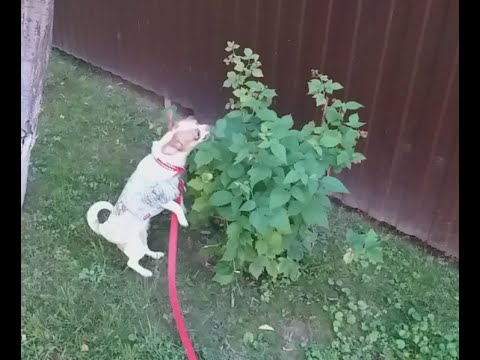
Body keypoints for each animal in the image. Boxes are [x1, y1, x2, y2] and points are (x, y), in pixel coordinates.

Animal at [86, 116, 210, 278]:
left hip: (142, 236)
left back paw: (155, 254)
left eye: (196, 122)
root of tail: (103, 227)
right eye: (197, 134)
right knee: (131, 262)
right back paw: (145, 273)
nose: (208, 126)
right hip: (135, 245)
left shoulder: (176, 190)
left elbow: (180, 202)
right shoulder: (161, 199)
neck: (165, 163)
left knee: (144, 250)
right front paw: (183, 221)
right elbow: (176, 206)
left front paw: (183, 211)